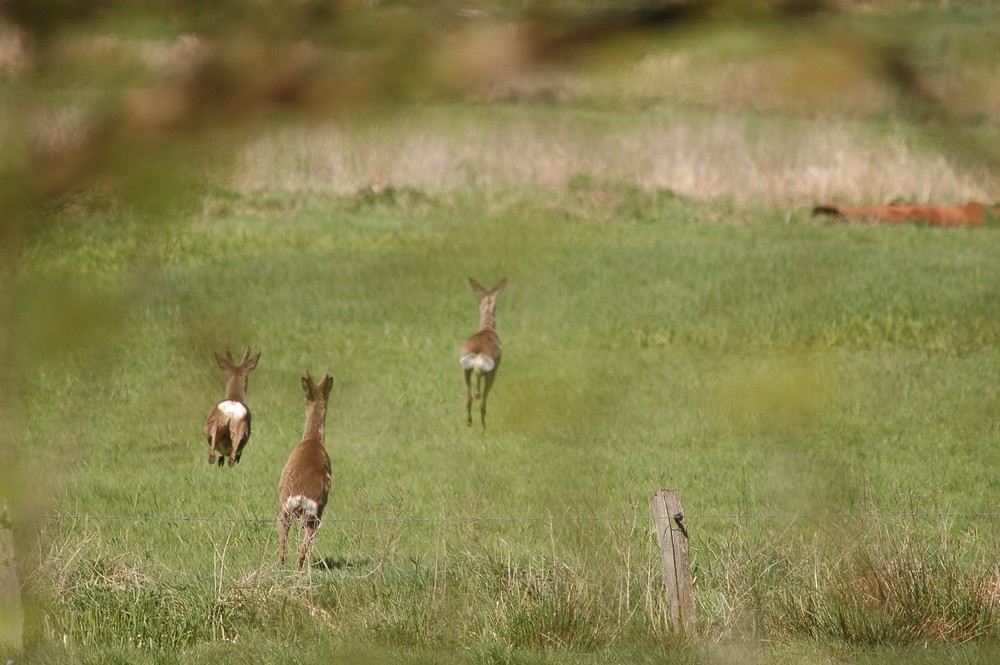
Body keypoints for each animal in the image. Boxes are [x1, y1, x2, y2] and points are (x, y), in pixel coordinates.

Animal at [280, 370, 334, 568]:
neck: (312, 440)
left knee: (283, 544)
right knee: (306, 543)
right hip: (316, 512)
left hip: (285, 509)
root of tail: (301, 495)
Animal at [460, 276, 508, 428]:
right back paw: (483, 426)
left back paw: (469, 423)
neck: (487, 328)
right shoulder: (494, 368)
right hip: (490, 371)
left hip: (465, 369)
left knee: (468, 398)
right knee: (482, 400)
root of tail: (477, 353)